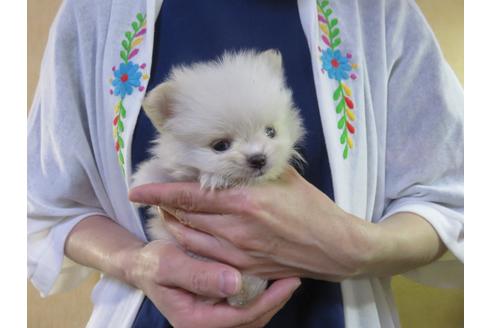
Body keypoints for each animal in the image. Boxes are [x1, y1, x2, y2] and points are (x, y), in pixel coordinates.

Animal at [133, 49, 306, 308]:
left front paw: (215, 178)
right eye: (220, 146)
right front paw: (142, 182)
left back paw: (241, 291)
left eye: (270, 132)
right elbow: (165, 170)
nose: (259, 158)